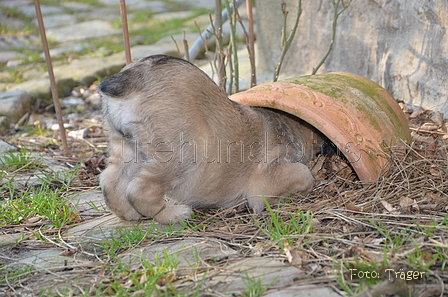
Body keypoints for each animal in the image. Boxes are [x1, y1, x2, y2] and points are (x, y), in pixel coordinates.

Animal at [98, 54, 322, 223]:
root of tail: (133, 75)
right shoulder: (267, 180)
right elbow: (304, 175)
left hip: (125, 147)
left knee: (110, 182)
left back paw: (131, 214)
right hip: (182, 153)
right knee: (139, 190)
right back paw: (174, 215)